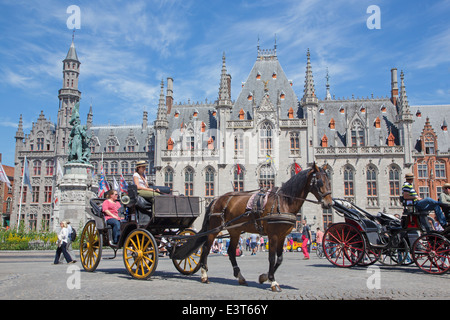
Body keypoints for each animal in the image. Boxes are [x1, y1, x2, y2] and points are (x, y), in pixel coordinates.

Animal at [188, 164, 332, 292]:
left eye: (329, 180)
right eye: (320, 181)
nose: (329, 203)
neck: (284, 202)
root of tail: (216, 200)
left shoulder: (282, 236)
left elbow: (280, 259)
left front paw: (264, 277)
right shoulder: (273, 235)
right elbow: (272, 258)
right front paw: (273, 282)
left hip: (235, 231)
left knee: (231, 252)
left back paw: (240, 277)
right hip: (215, 229)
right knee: (206, 248)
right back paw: (204, 275)